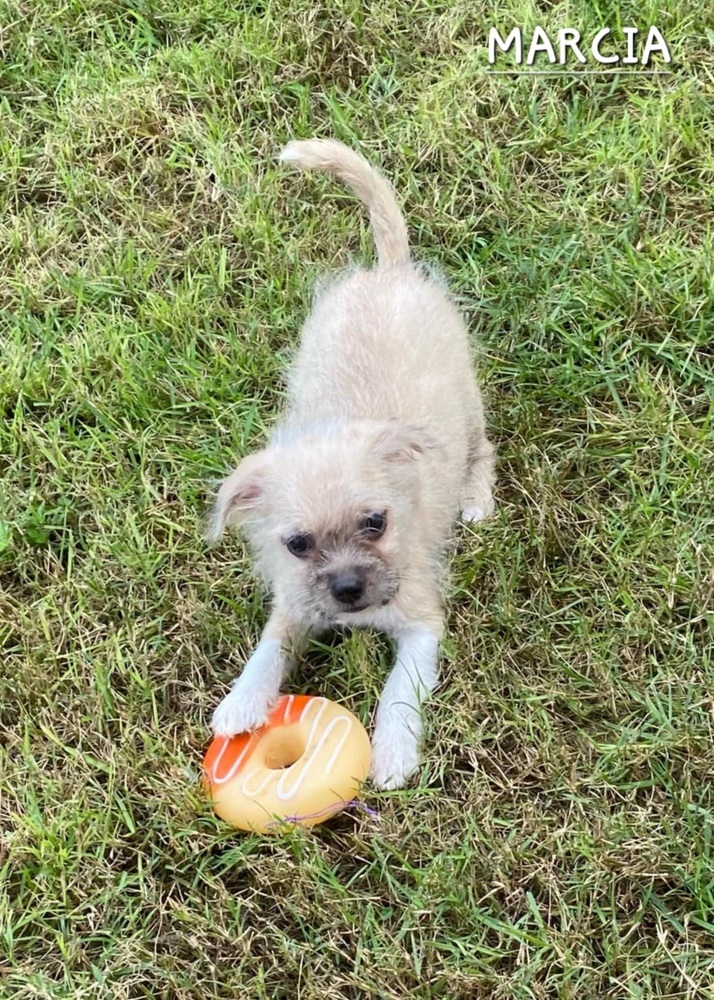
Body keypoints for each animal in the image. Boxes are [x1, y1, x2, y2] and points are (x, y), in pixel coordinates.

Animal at [209, 139, 492, 788]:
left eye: (376, 523)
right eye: (297, 545)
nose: (346, 590)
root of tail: (389, 272)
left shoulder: (421, 625)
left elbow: (398, 693)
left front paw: (392, 754)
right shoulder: (294, 604)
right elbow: (269, 647)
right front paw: (241, 700)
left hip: (469, 401)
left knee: (483, 447)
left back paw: (477, 498)